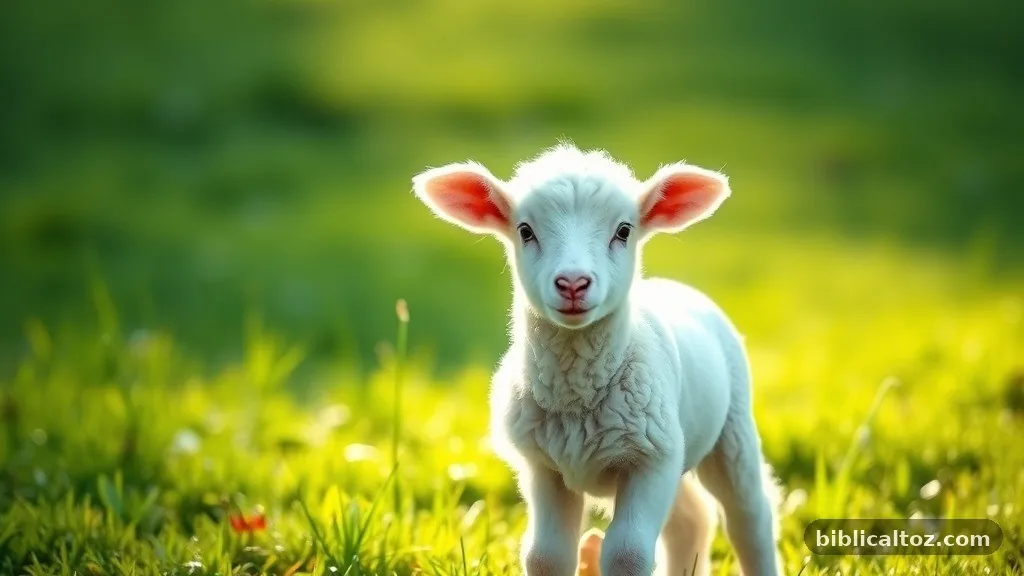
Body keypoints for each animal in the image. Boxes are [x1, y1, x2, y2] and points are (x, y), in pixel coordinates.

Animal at [412, 142, 782, 576]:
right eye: (525, 231)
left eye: (624, 230)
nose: (573, 283)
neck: (578, 397)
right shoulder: (543, 466)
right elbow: (545, 555)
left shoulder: (651, 460)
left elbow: (627, 553)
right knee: (691, 521)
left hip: (732, 431)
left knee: (748, 515)